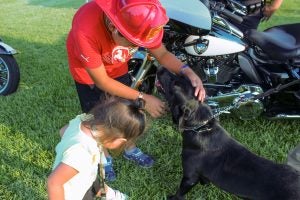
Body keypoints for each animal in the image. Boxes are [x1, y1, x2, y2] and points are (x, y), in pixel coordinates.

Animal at [156, 68, 300, 199]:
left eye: (174, 84)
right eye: (181, 76)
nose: (161, 68)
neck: (202, 127)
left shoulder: (189, 178)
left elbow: (179, 193)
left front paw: (172, 197)